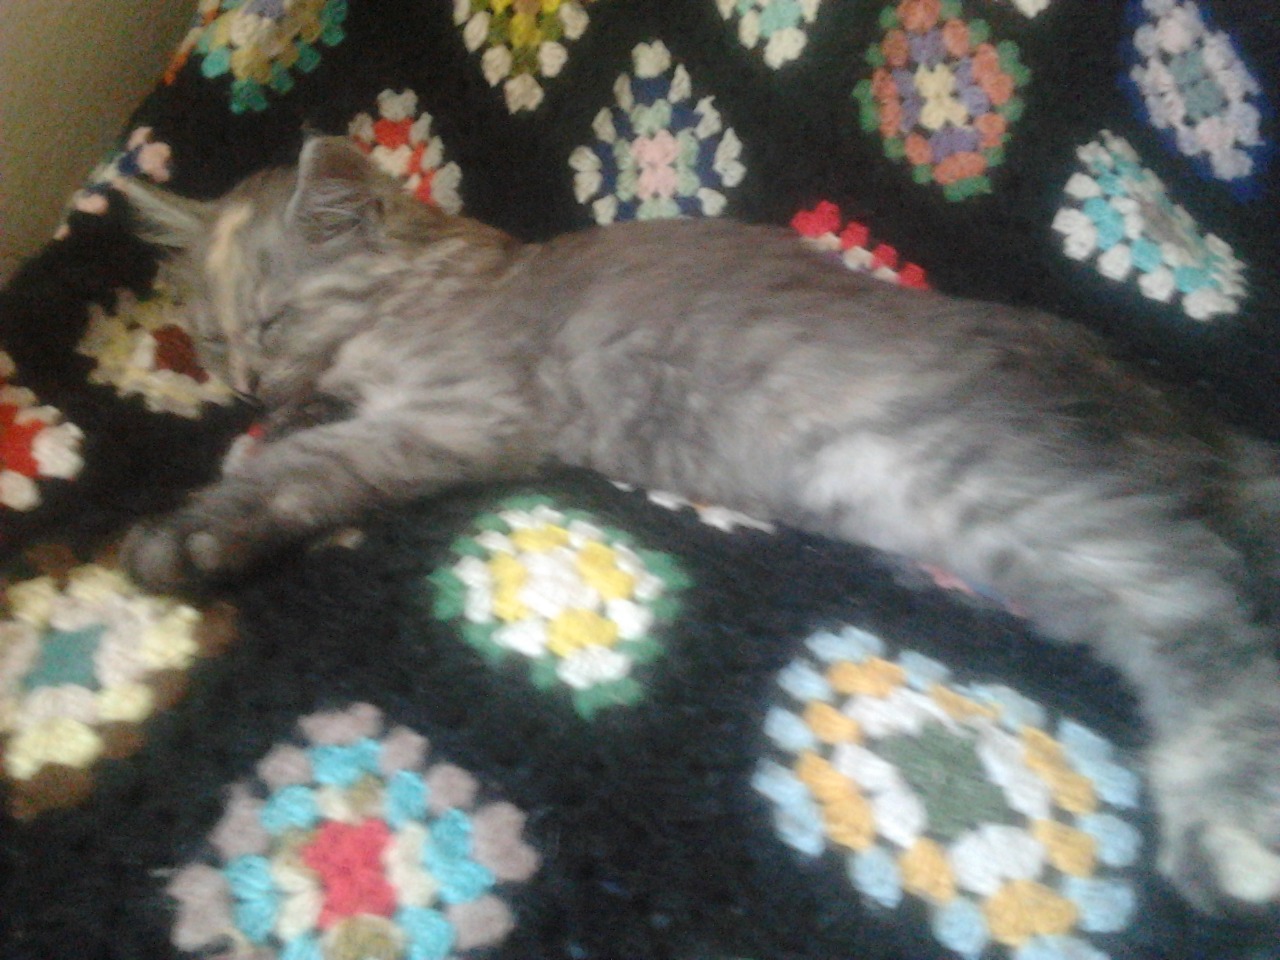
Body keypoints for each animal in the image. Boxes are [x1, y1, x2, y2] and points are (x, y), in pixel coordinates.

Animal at [119, 136, 1280, 915]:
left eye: (269, 321)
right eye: (210, 339)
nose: (239, 380)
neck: (423, 281)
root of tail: (1181, 417)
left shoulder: (463, 412)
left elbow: (315, 464)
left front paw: (199, 527)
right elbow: (311, 426)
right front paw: (264, 432)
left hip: (1029, 493)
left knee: (1205, 607)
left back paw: (1226, 832)